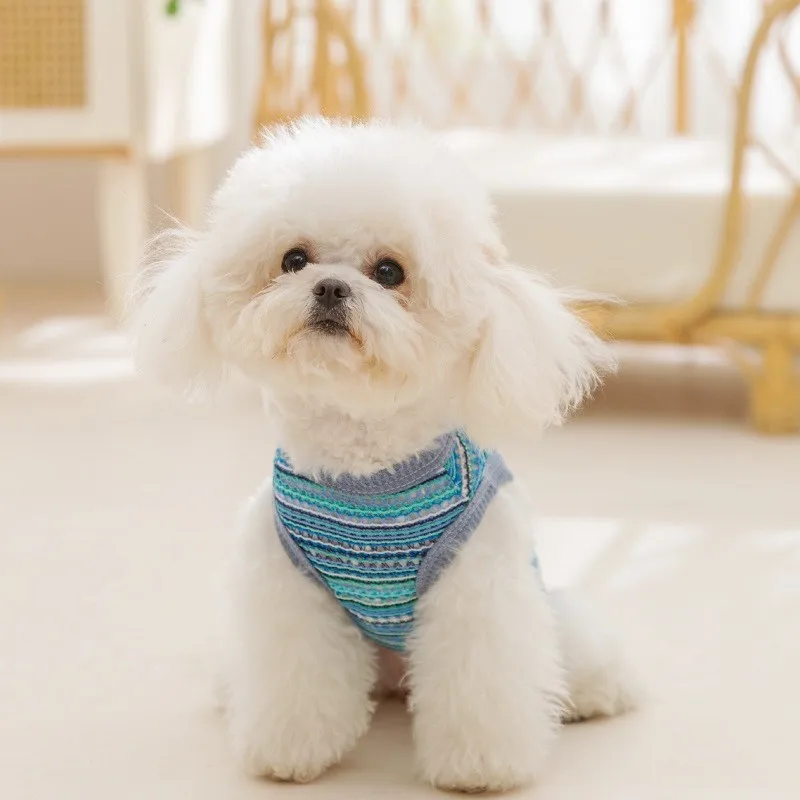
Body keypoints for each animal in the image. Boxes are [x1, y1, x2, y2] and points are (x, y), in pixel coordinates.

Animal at [131, 118, 640, 792]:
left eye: (391, 271)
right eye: (294, 259)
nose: (329, 286)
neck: (366, 472)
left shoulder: (476, 592)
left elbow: (481, 684)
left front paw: (479, 767)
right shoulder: (289, 590)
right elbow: (295, 679)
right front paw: (291, 752)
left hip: (553, 620)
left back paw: (599, 692)